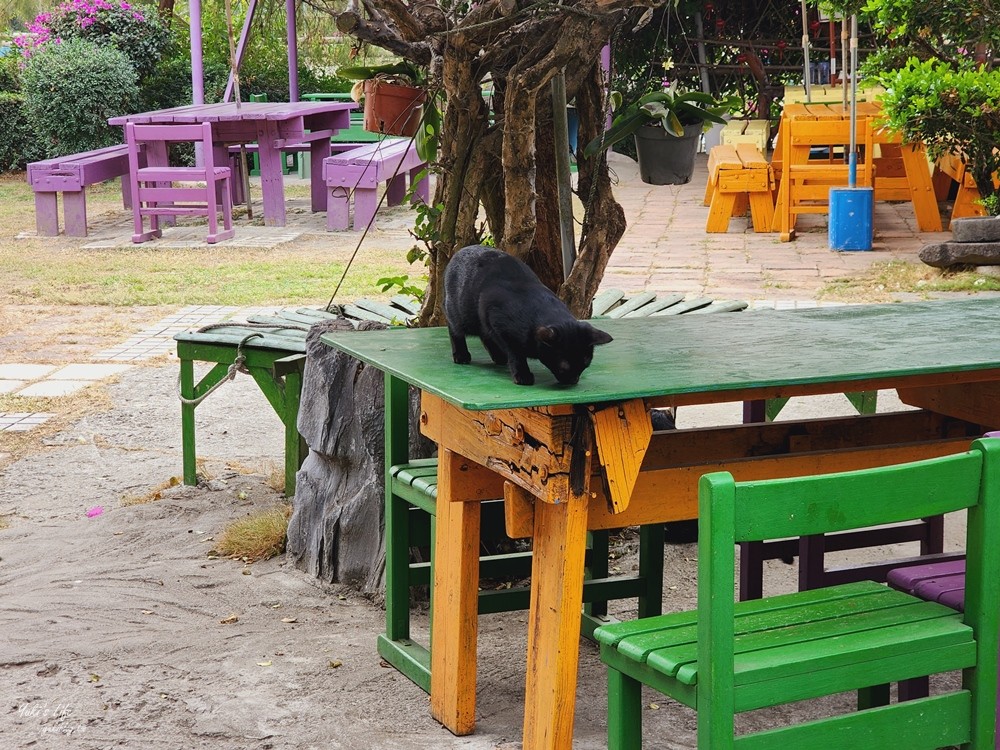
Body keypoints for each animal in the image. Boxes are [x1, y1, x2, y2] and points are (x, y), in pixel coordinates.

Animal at [444, 247, 608, 388]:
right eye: (564, 366)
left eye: (585, 364)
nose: (573, 380)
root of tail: (461, 250)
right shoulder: (499, 325)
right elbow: (516, 353)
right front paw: (522, 374)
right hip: (460, 314)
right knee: (455, 330)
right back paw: (461, 355)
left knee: (485, 335)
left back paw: (498, 356)